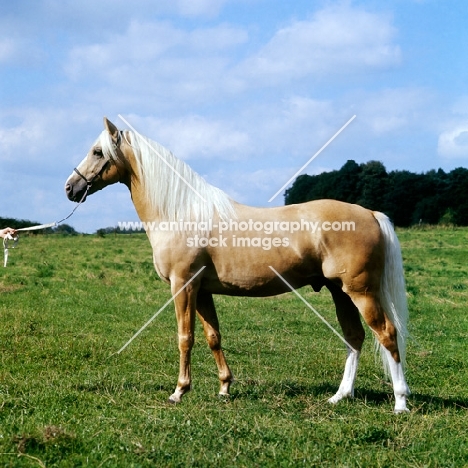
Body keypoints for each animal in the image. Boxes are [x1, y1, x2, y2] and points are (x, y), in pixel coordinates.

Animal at [65, 118, 410, 414]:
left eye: (98, 152)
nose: (70, 188)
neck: (180, 213)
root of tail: (370, 213)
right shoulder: (202, 291)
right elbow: (212, 336)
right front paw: (224, 388)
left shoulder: (183, 285)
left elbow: (185, 337)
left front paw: (179, 391)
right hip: (340, 292)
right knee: (355, 337)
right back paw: (340, 396)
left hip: (361, 292)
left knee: (387, 334)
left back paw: (400, 402)